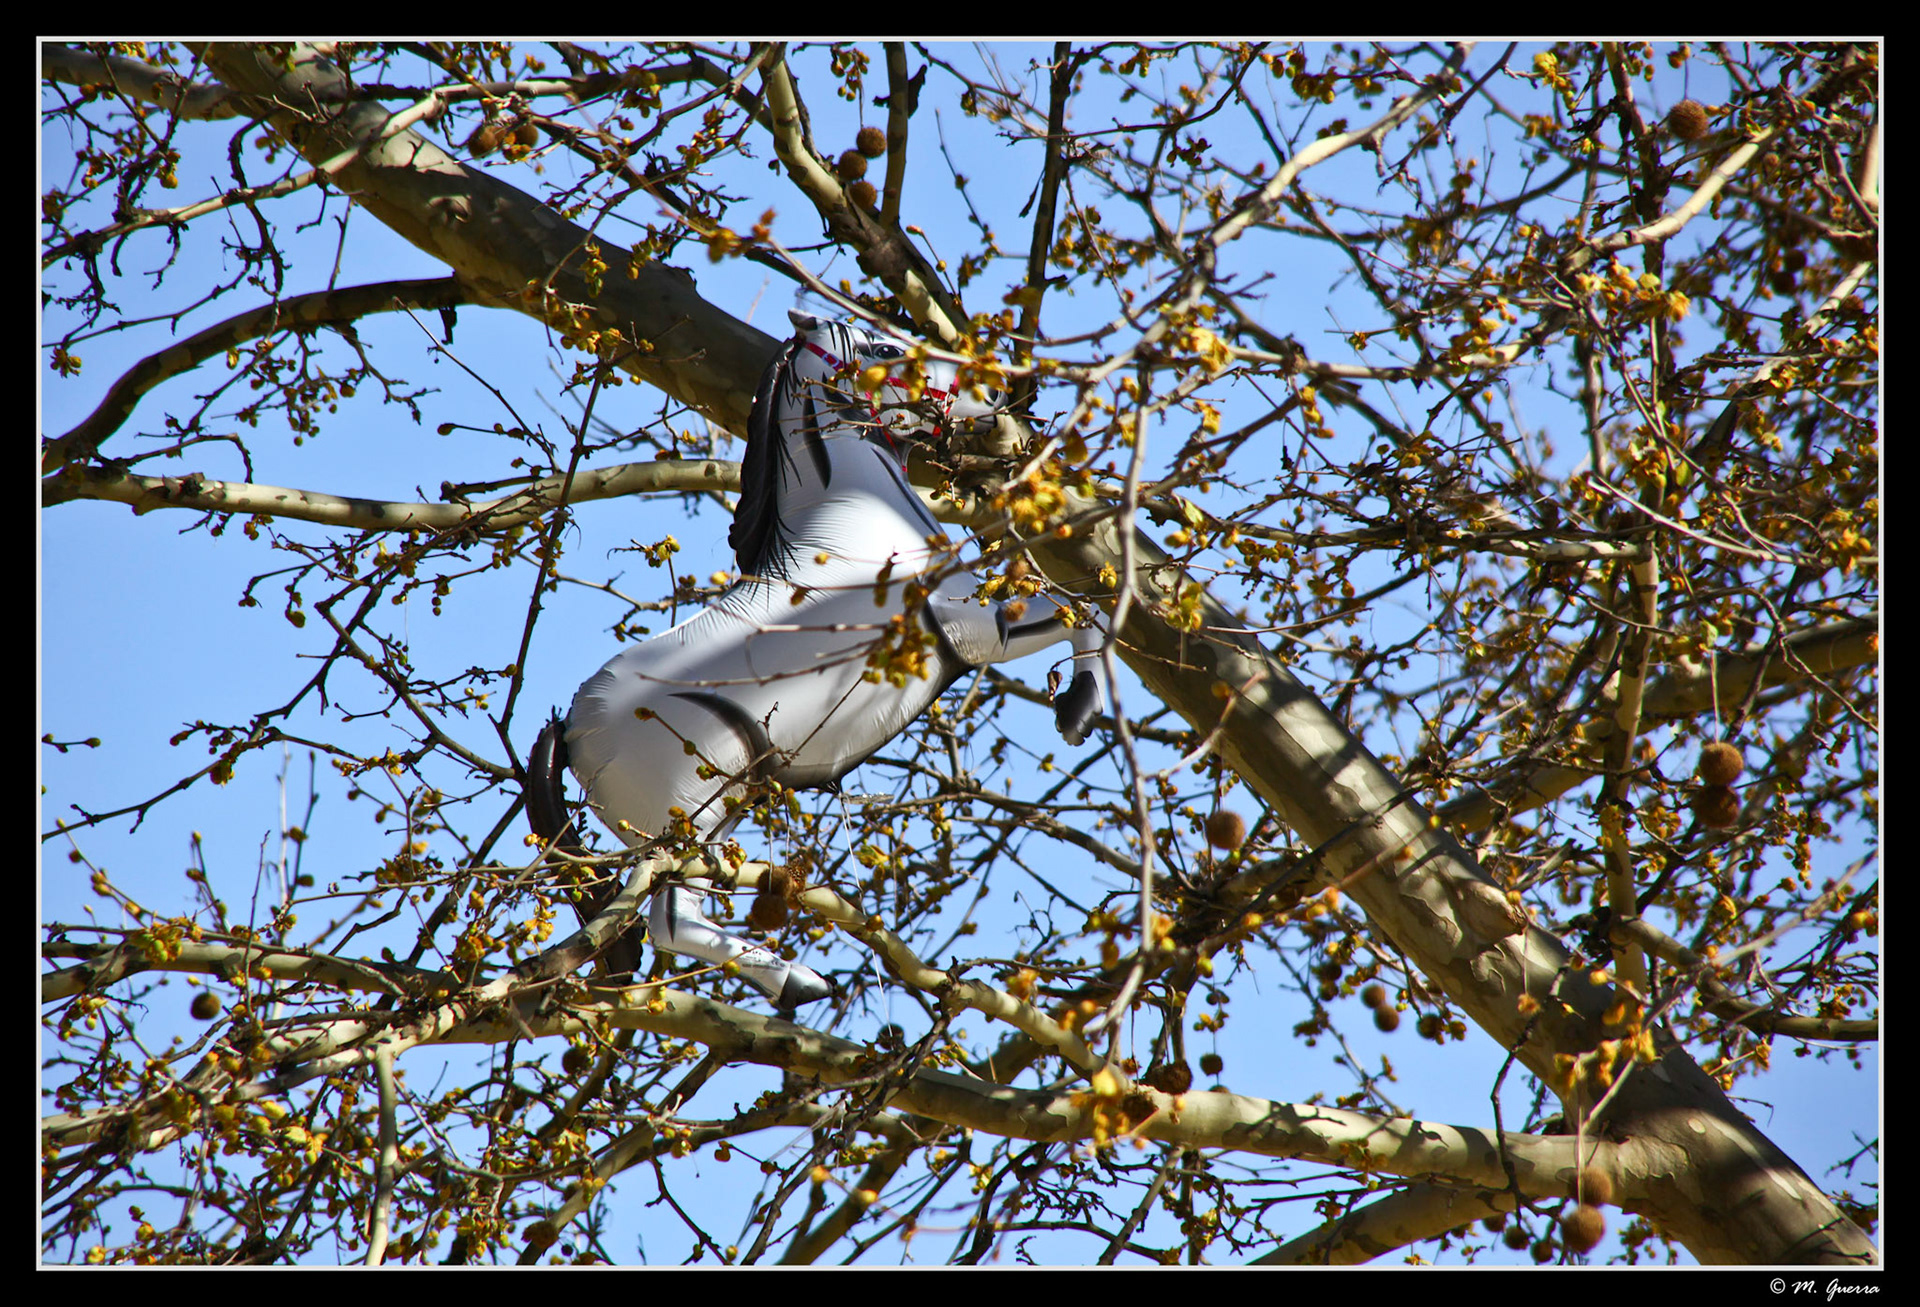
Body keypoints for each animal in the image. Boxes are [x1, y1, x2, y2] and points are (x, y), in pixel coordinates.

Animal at [529, 310, 1103, 1007]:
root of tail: (570, 727)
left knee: (675, 914)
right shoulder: (973, 630)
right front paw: (1076, 711)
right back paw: (796, 982)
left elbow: (1082, 607)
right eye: (882, 347)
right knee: (670, 920)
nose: (995, 394)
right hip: (679, 818)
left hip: (714, 813)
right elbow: (1082, 609)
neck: (860, 527)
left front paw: (1076, 707)